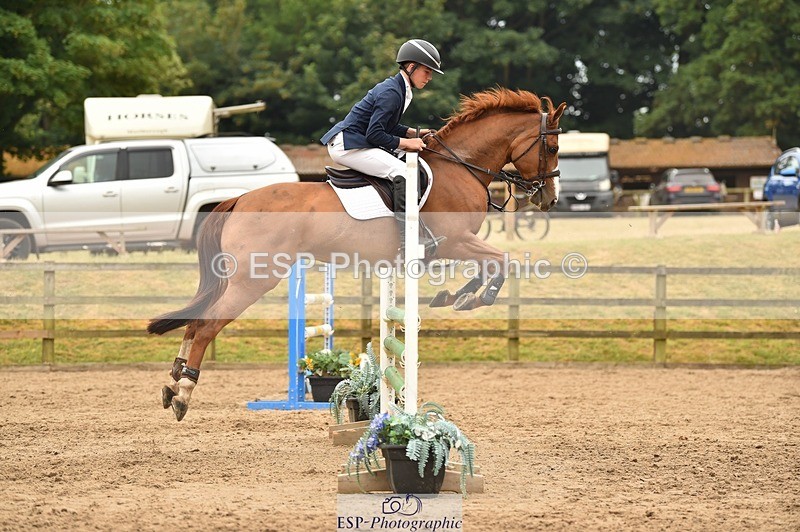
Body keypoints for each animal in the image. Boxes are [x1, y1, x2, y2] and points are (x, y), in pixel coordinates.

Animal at [148, 88, 566, 421]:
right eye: (553, 147)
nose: (549, 199)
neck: (460, 166)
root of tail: (237, 200)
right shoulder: (455, 241)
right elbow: (502, 260)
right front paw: (472, 298)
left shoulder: (454, 246)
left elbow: (492, 263)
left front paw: (457, 295)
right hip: (253, 280)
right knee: (205, 327)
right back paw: (184, 394)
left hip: (237, 278)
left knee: (193, 323)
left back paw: (172, 384)